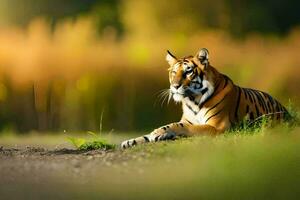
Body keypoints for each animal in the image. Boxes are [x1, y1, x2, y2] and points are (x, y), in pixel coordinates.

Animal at [120, 48, 290, 148]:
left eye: (188, 71)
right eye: (173, 72)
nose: (174, 86)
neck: (192, 100)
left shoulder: (217, 126)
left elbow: (182, 126)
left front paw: (159, 132)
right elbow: (147, 135)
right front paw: (130, 141)